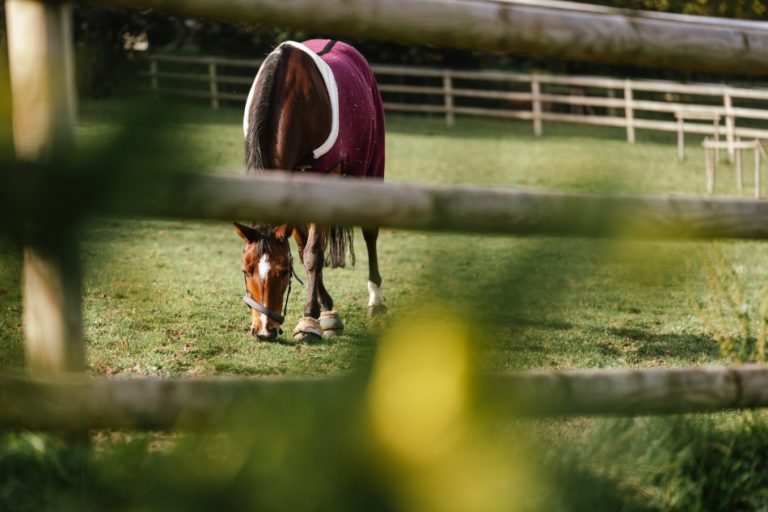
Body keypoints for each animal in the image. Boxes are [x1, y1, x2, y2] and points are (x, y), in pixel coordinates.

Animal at [235, 39, 386, 342]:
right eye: (246, 270)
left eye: (283, 272)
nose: (264, 331)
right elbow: (304, 247)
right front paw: (324, 310)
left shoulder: (325, 175)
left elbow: (313, 252)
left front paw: (308, 320)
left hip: (372, 164)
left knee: (370, 232)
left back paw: (375, 300)